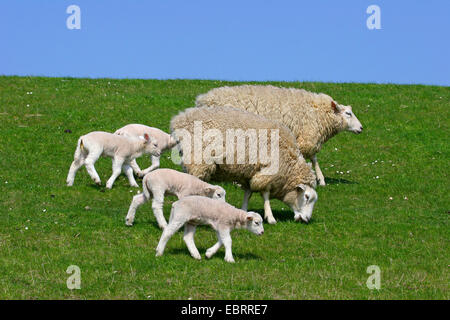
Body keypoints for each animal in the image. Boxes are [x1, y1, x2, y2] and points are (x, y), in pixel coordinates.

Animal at [171, 106, 318, 224]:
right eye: (306, 197)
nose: (306, 219)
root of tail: (178, 120)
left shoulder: (249, 173)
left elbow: (248, 193)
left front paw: (244, 212)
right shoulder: (267, 171)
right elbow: (265, 194)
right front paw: (270, 218)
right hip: (199, 161)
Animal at [195, 84, 364, 186]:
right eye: (348, 113)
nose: (361, 128)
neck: (319, 113)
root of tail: (202, 100)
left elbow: (312, 157)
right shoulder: (306, 137)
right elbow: (313, 157)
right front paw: (320, 179)